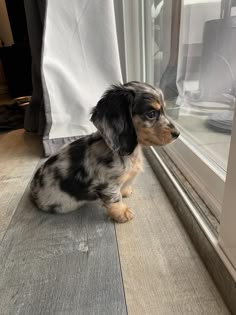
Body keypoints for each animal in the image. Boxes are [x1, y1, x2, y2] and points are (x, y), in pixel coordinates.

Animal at [30, 82, 180, 225]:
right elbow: (115, 198)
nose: (177, 134)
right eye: (151, 114)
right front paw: (122, 213)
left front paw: (125, 191)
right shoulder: (107, 184)